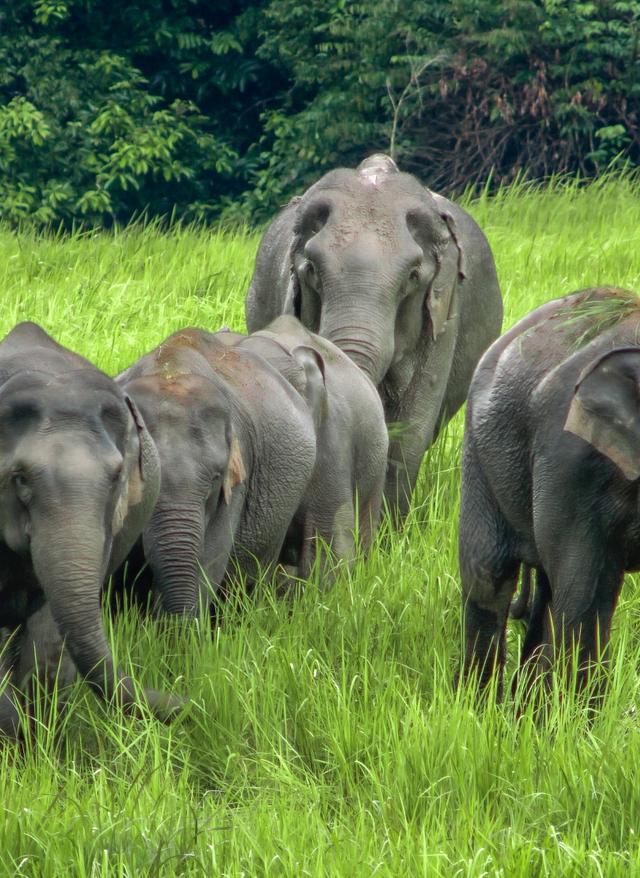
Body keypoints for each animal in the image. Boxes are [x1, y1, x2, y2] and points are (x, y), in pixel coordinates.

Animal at [458, 286, 640, 696]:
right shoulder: (572, 460)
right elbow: (584, 597)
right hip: (481, 448)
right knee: (490, 581)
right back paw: (479, 707)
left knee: (544, 594)